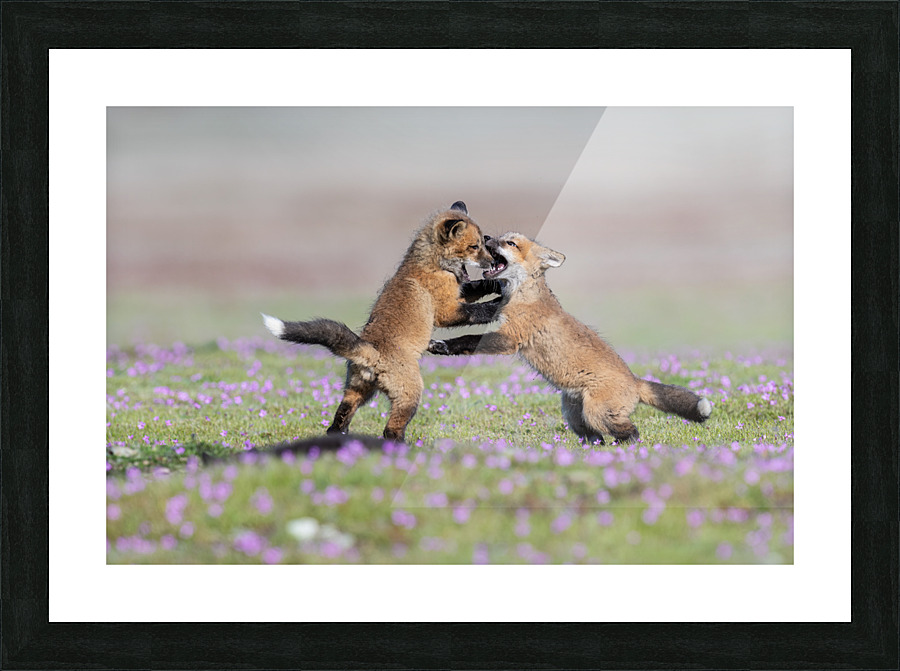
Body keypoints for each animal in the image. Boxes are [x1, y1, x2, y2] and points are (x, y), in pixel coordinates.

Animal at [262, 201, 503, 443]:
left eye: (482, 244)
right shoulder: (447, 310)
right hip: (410, 393)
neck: (432, 265)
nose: (492, 261)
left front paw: (497, 285)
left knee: (337, 422)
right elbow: (479, 310)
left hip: (359, 391)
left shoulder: (458, 293)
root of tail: (371, 352)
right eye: (474, 246)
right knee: (391, 430)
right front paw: (500, 303)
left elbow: (477, 287)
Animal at [427, 232, 712, 444]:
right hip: (575, 416)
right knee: (596, 439)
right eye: (498, 237)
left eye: (511, 243)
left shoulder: (511, 339)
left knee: (631, 433)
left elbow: (467, 340)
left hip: (597, 413)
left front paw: (442, 346)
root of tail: (634, 381)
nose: (486, 236)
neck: (524, 295)